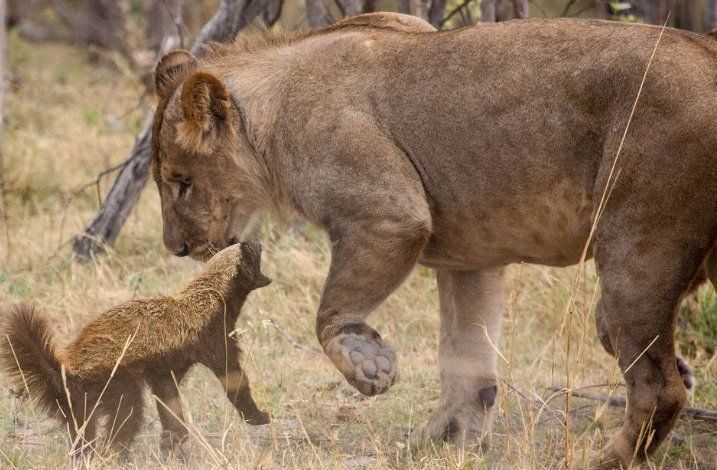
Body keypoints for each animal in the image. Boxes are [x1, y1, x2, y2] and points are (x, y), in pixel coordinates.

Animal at [1, 242, 270, 456]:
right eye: (252, 252)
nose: (257, 241)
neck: (212, 294)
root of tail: (66, 371)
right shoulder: (214, 336)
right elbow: (233, 378)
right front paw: (258, 417)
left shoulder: (165, 369)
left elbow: (168, 398)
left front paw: (173, 440)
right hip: (116, 382)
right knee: (126, 416)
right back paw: (114, 454)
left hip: (79, 405)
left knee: (82, 434)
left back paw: (85, 456)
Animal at [148, 12, 712, 468]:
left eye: (181, 182)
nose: (175, 248)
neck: (271, 117)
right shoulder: (471, 254)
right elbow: (466, 359)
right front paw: (446, 438)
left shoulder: (390, 213)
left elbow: (330, 313)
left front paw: (368, 365)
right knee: (638, 356)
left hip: (640, 247)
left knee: (658, 386)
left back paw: (608, 459)